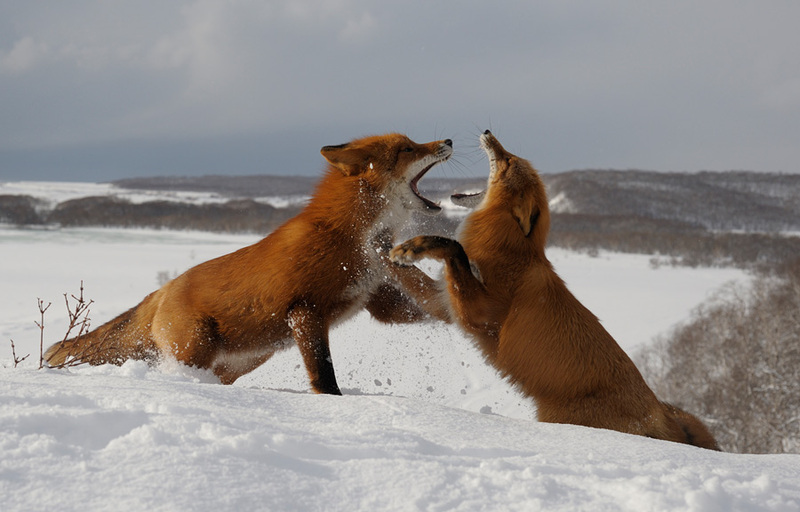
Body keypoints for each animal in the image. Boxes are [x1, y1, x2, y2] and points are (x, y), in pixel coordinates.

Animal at [45, 133, 456, 396]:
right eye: (407, 148)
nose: (449, 141)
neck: (346, 235)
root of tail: (163, 290)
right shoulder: (305, 310)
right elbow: (324, 375)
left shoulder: (377, 301)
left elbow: (423, 306)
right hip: (196, 350)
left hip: (241, 361)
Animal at [390, 130, 720, 450]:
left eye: (507, 160)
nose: (487, 131)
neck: (509, 250)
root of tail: (658, 414)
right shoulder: (444, 303)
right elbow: (409, 272)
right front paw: (386, 250)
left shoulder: (477, 315)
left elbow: (452, 247)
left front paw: (414, 246)